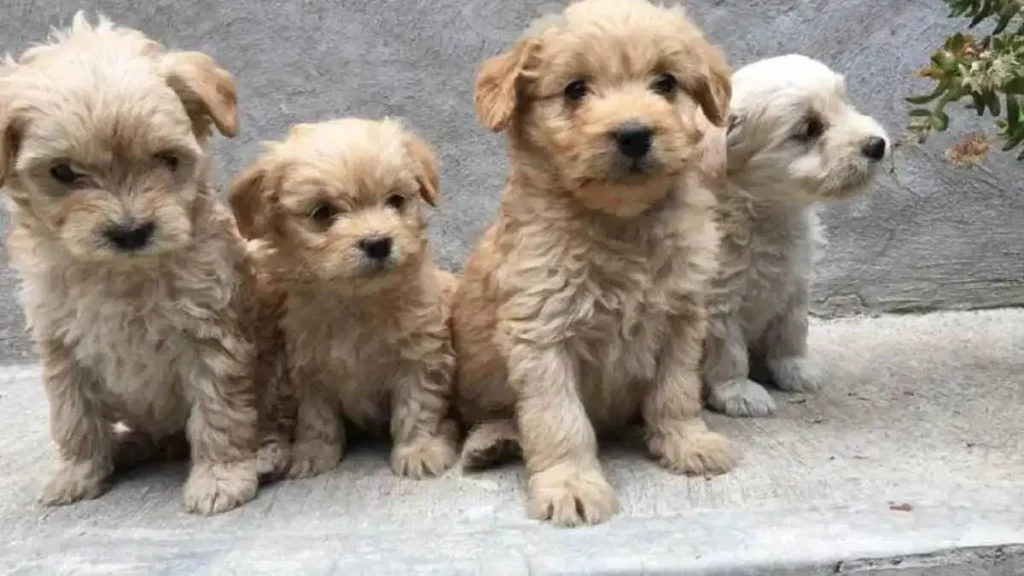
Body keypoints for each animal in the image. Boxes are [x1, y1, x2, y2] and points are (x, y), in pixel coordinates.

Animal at [0, 13, 264, 510]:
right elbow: (73, 415)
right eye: (63, 172)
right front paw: (76, 473)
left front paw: (221, 477)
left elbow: (218, 409)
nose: (130, 232)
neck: (120, 275)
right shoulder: (60, 341)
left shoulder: (210, 331)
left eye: (166, 159)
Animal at [232, 117, 460, 479]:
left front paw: (420, 449)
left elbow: (418, 405)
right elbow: (317, 416)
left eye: (395, 201)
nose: (378, 243)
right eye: (323, 213)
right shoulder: (307, 368)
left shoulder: (422, 355)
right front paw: (314, 452)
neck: (356, 304)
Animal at [454, 0, 737, 528]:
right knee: (497, 414)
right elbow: (559, 419)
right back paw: (492, 441)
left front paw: (688, 443)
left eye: (665, 83)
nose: (634, 135)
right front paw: (571, 485)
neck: (620, 225)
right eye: (575, 89)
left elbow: (676, 393)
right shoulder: (541, 333)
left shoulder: (683, 319)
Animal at [704, 54, 888, 416]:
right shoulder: (719, 303)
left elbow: (792, 333)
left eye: (845, 103)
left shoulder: (794, 289)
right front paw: (738, 393)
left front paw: (796, 370)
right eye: (809, 129)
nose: (877, 145)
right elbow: (729, 354)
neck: (766, 214)